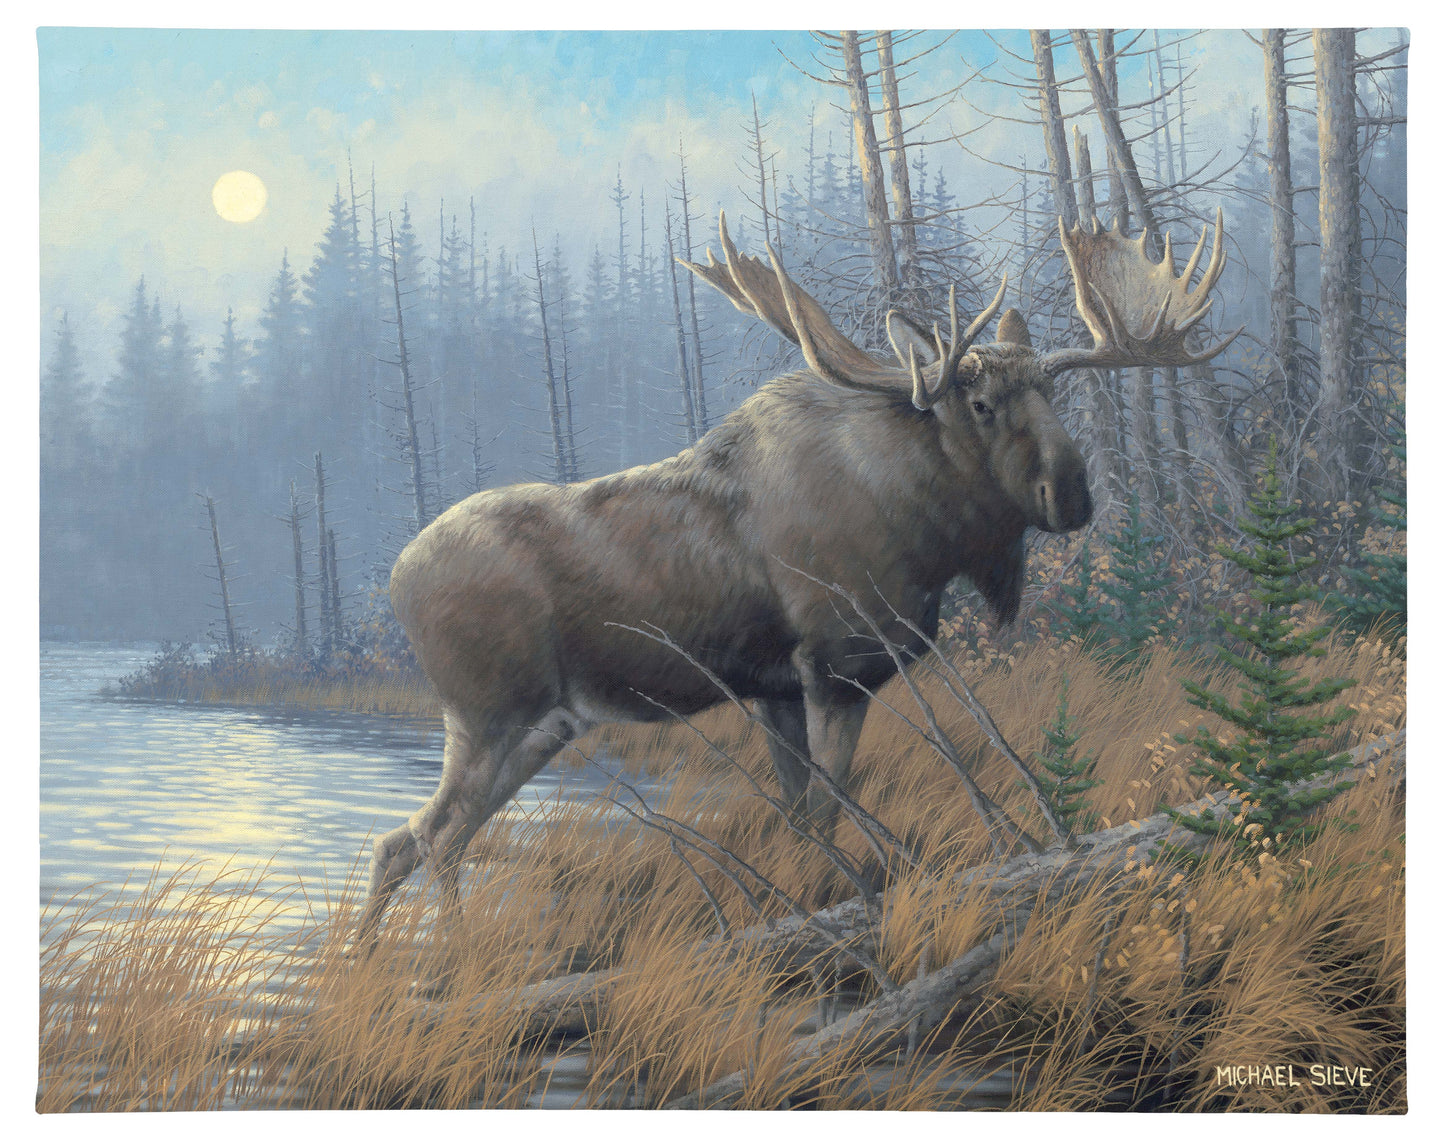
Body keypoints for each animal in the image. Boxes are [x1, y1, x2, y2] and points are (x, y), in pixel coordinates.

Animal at [354, 209, 1238, 945]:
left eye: (1053, 389)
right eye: (981, 403)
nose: (1073, 495)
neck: (926, 533)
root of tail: (394, 579)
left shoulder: (775, 687)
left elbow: (799, 818)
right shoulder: (837, 668)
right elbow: (824, 814)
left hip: (545, 722)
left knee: (402, 838)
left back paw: (363, 961)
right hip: (489, 712)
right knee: (434, 835)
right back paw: (456, 960)